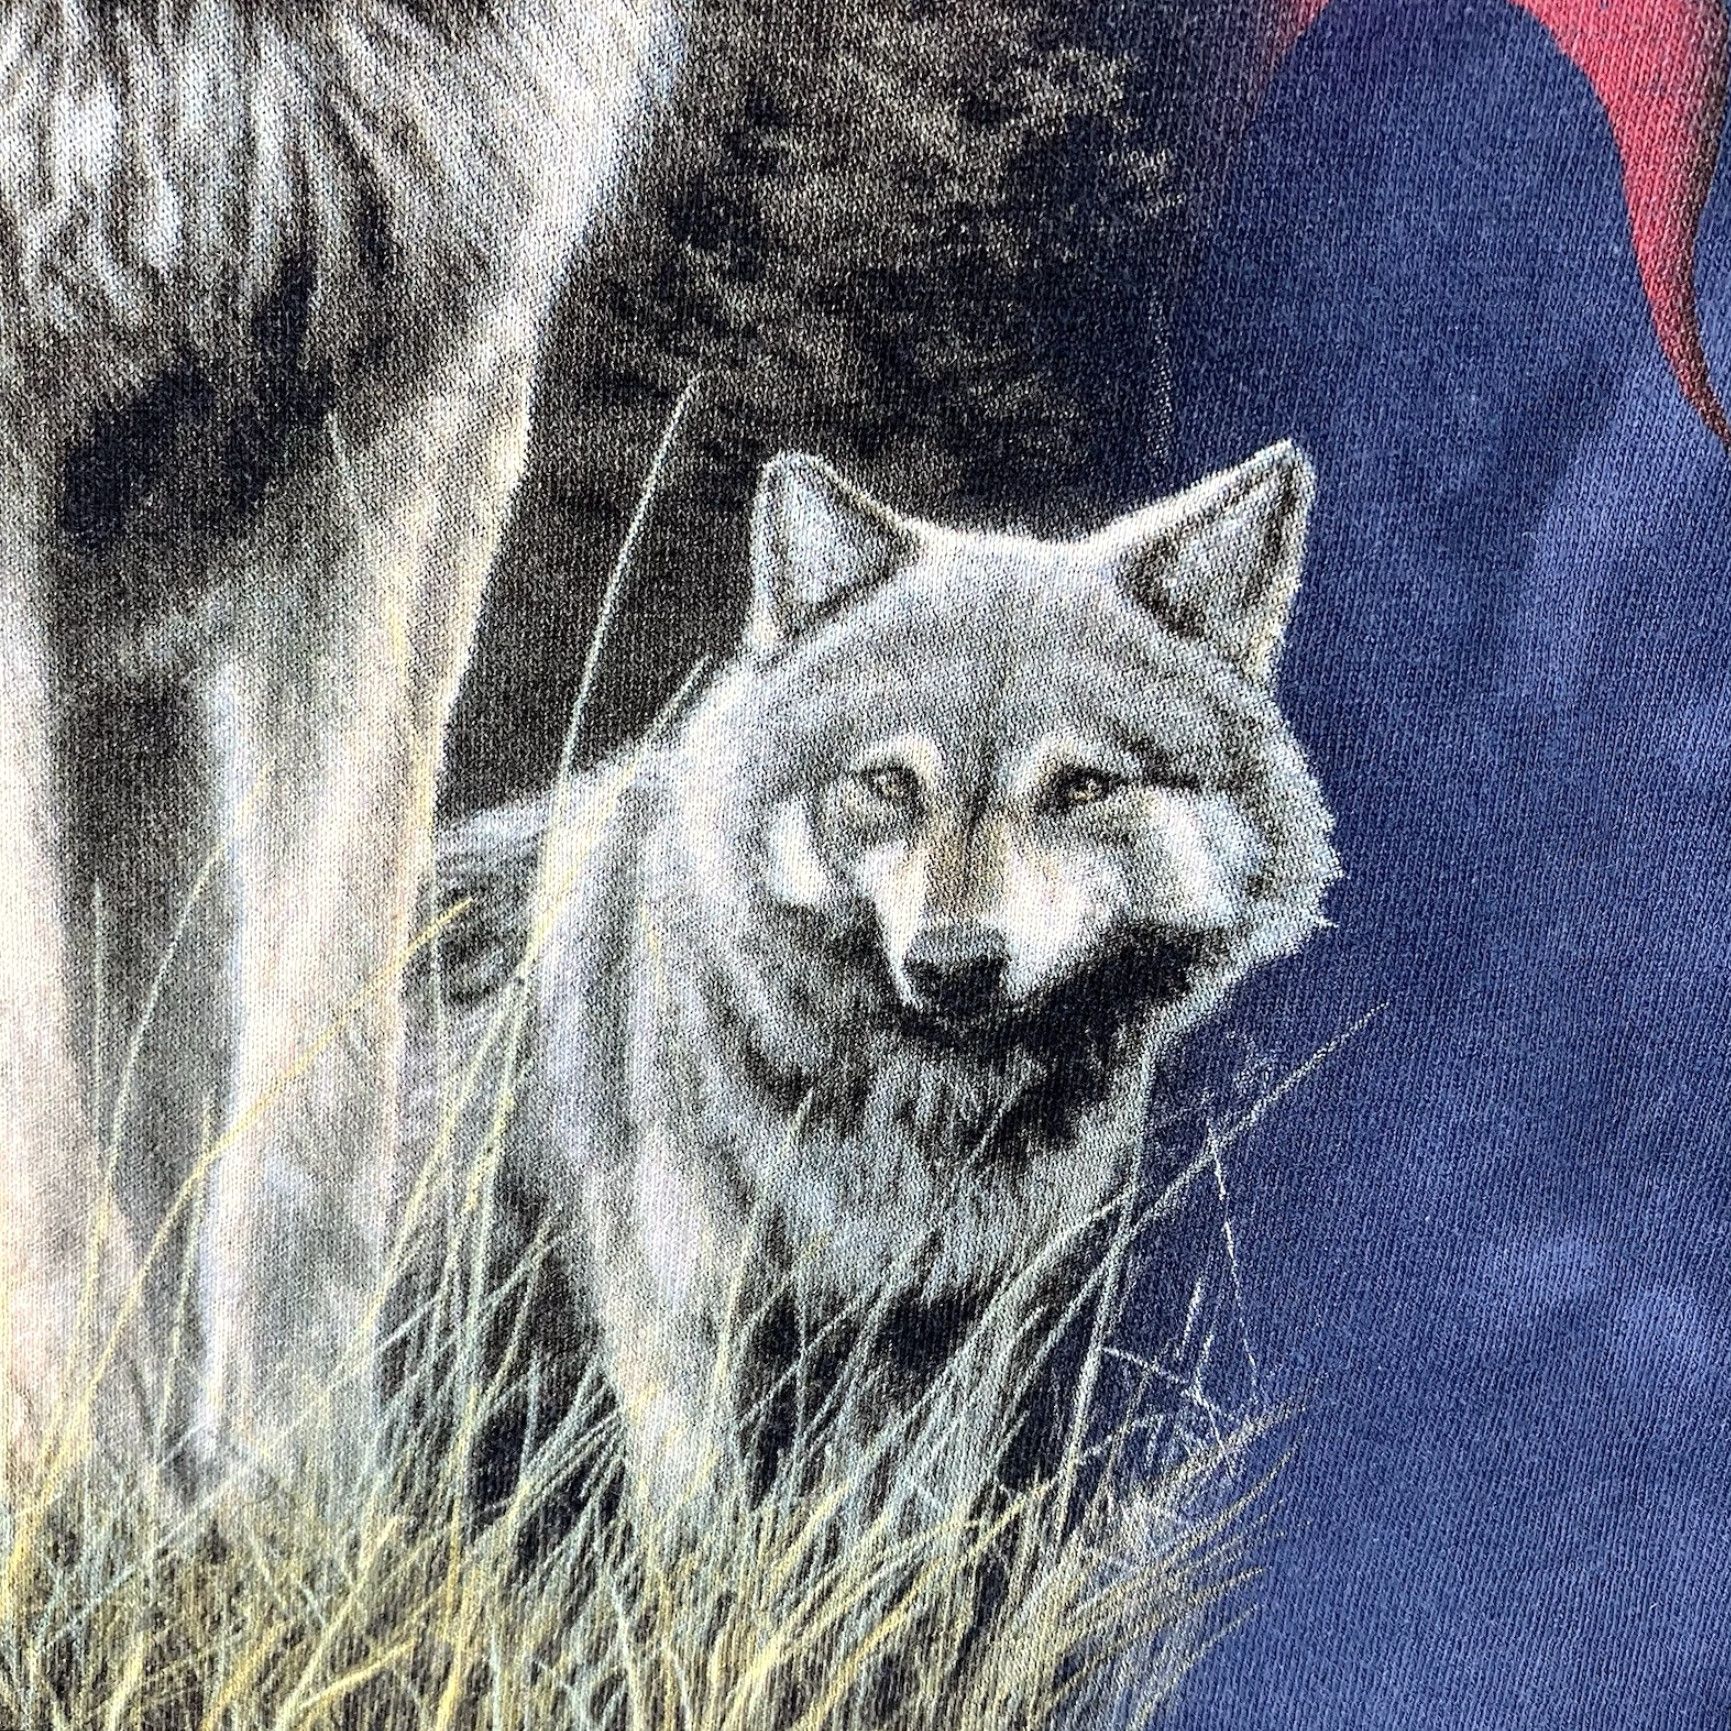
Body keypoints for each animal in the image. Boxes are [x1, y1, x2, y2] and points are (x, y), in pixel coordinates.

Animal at [411, 441, 1340, 1508]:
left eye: (1082, 787)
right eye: (890, 782)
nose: (954, 964)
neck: (912, 1117)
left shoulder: (954, 1347)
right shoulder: (681, 1343)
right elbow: (702, 1544)